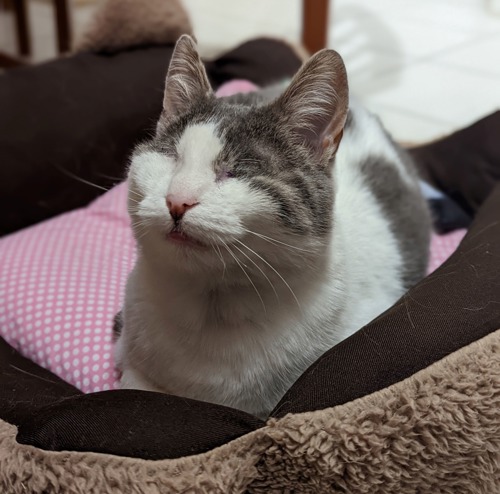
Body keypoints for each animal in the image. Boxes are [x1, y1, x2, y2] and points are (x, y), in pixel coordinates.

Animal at [115, 33, 432, 416]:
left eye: (237, 172)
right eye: (171, 158)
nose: (177, 200)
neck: (212, 305)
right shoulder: (128, 352)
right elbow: (133, 384)